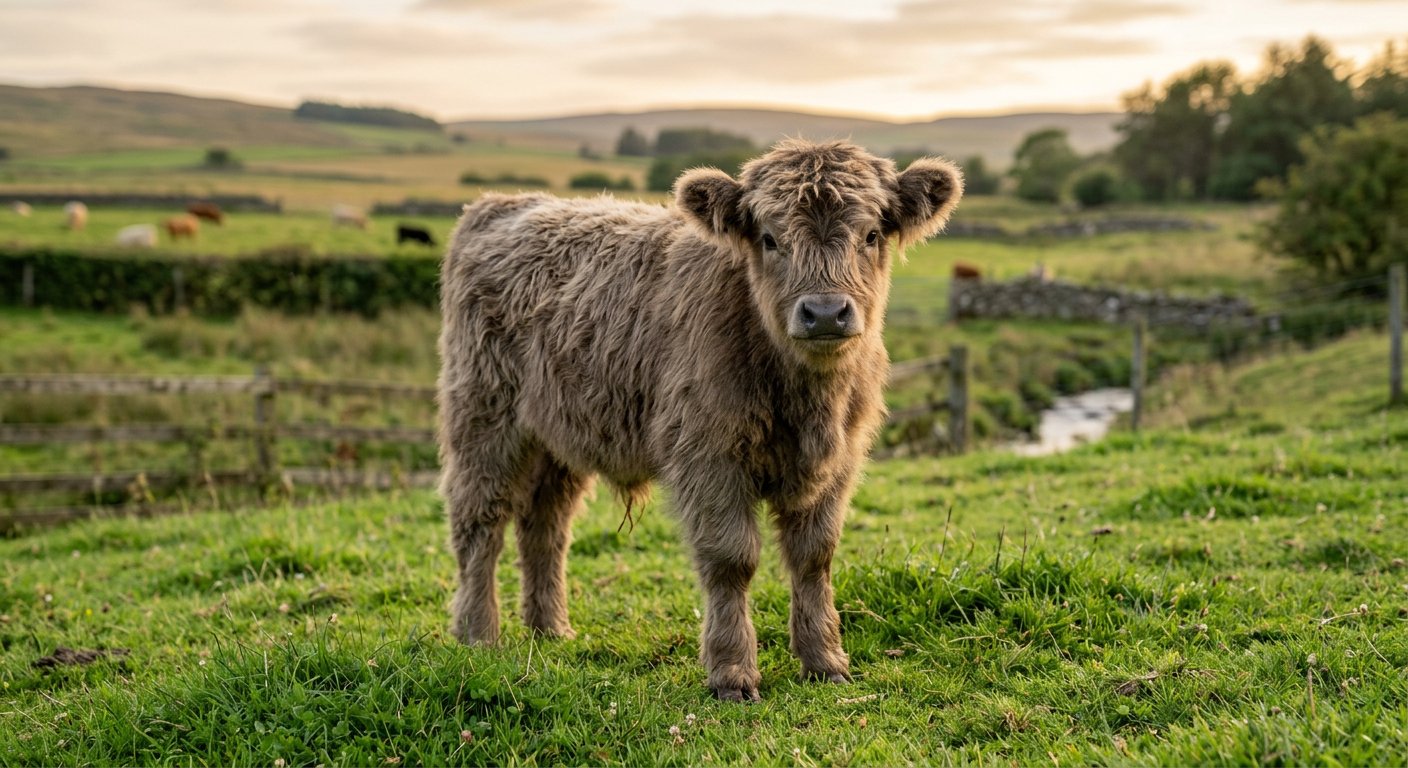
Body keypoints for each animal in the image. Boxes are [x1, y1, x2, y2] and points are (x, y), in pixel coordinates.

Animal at [437, 139, 963, 702]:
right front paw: (732, 673)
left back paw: (550, 629)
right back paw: (477, 633)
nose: (824, 312)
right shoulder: (707, 457)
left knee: (545, 526)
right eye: (770, 238)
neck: (805, 399)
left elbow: (814, 555)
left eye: (870, 235)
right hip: (484, 418)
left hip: (557, 436)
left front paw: (825, 661)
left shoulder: (838, 462)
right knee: (480, 522)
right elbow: (732, 559)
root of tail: (500, 204)